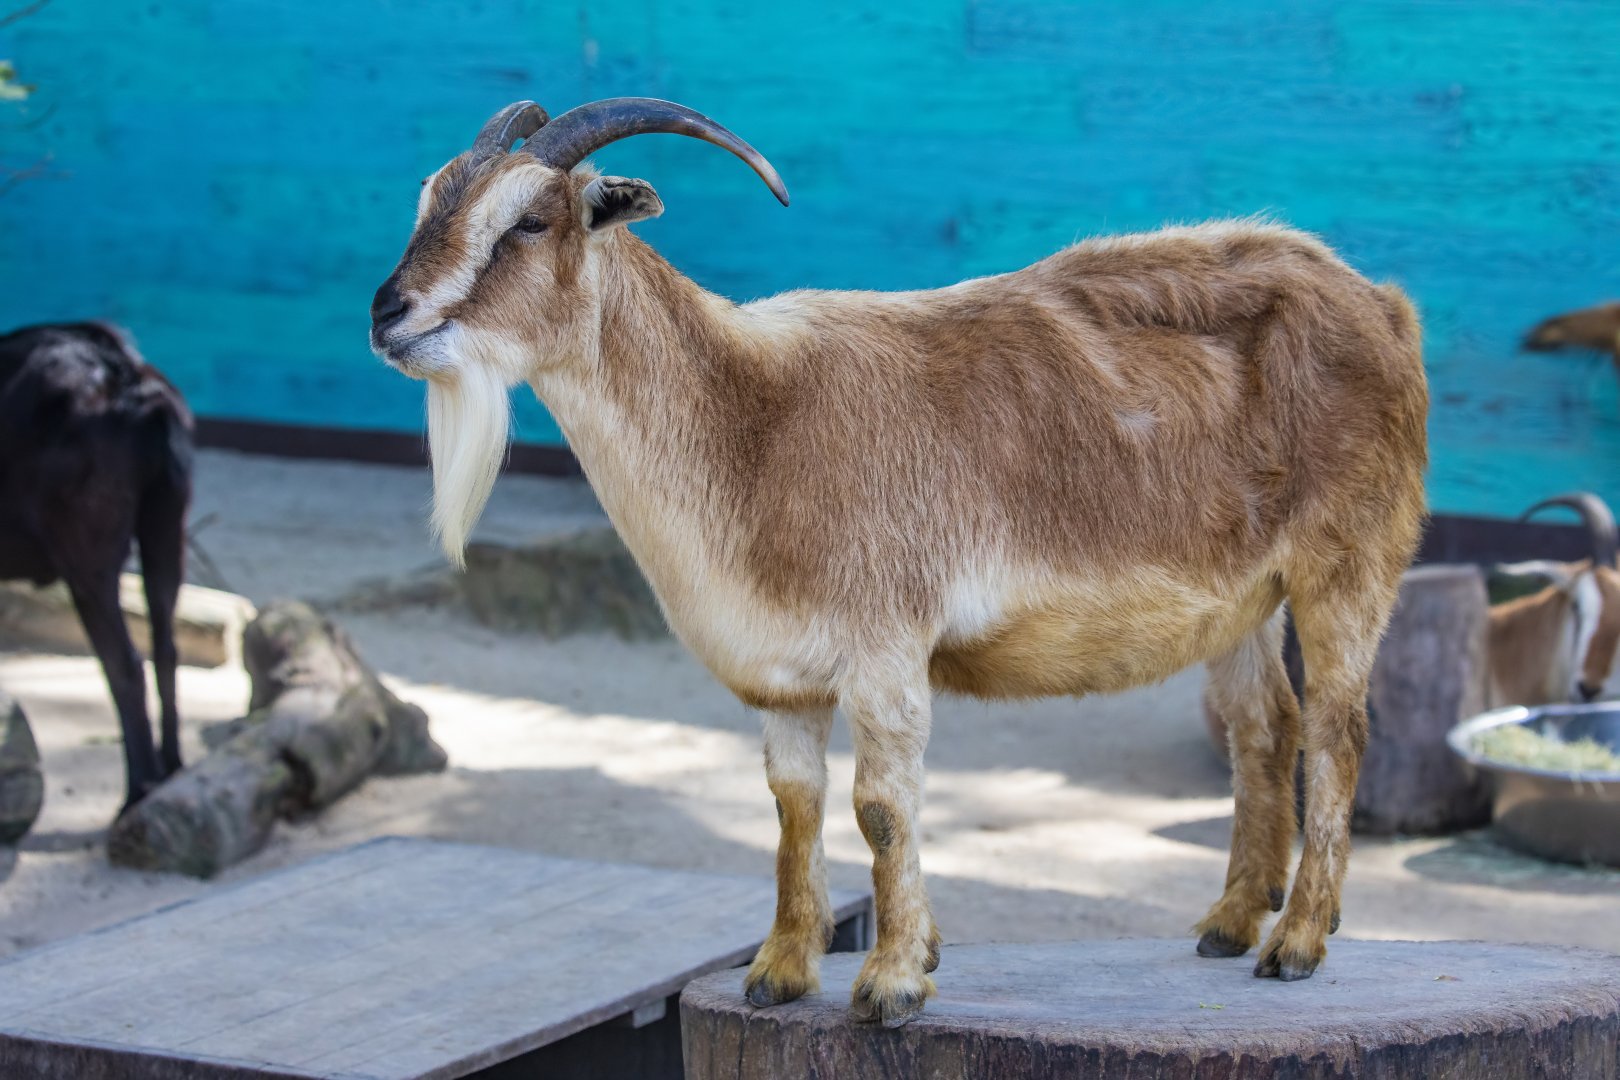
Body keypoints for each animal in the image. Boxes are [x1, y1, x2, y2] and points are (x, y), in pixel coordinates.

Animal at [0, 322, 192, 814]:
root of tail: (127, 377)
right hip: (166, 523)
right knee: (165, 646)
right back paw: (171, 769)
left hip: (87, 551)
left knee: (124, 662)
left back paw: (138, 789)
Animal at [371, 98, 1429, 1025]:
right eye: (427, 201)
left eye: (529, 220)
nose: (388, 314)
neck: (751, 426)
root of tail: (1383, 304)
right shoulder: (781, 676)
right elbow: (793, 805)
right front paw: (780, 971)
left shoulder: (884, 646)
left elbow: (880, 807)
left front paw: (891, 984)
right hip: (1244, 600)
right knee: (1264, 727)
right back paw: (1228, 922)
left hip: (1346, 563)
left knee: (1338, 730)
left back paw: (1296, 943)